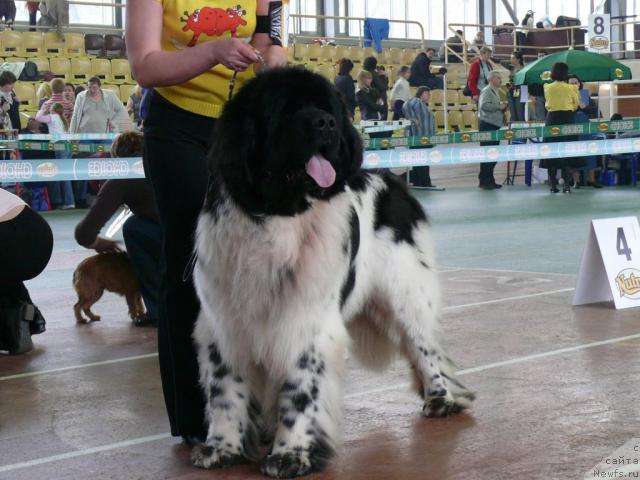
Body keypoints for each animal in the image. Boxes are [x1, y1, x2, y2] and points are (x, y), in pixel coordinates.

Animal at [190, 66, 476, 476]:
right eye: (284, 108)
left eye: (327, 109)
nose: (325, 124)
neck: (278, 215)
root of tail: (393, 181)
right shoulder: (224, 321)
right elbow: (225, 390)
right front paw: (221, 447)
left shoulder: (306, 322)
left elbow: (300, 391)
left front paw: (291, 454)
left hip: (406, 293)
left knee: (424, 345)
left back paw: (441, 397)